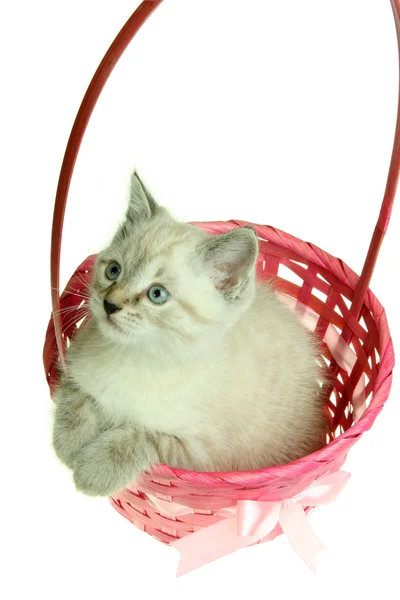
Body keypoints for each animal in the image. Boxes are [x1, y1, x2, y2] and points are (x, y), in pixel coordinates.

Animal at [52, 172, 328, 496]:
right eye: (114, 271)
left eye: (157, 294)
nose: (109, 304)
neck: (140, 355)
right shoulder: (74, 363)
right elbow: (77, 397)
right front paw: (68, 443)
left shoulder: (204, 453)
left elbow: (143, 437)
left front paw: (94, 470)